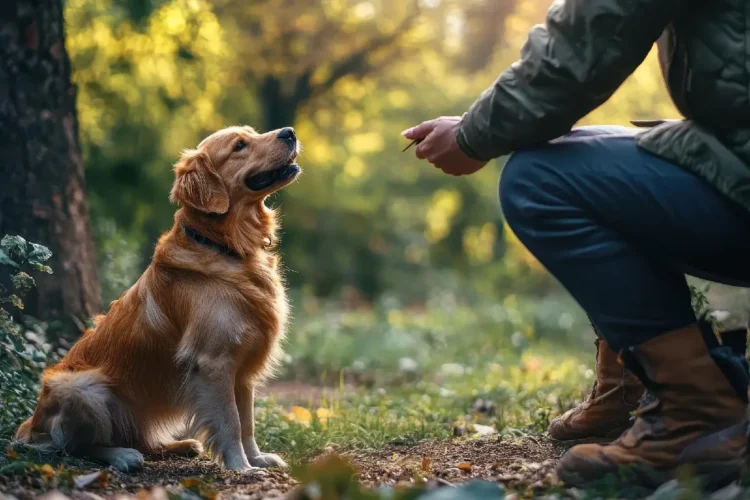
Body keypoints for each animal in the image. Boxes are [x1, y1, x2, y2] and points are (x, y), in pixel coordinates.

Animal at [16, 125, 302, 472]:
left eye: (253, 133)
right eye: (239, 146)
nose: (290, 132)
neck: (227, 247)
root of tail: (32, 424)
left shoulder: (243, 366)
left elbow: (247, 421)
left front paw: (257, 458)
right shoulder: (214, 362)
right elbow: (231, 421)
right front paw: (241, 467)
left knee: (142, 439)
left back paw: (182, 445)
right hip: (82, 388)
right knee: (78, 447)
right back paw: (122, 455)